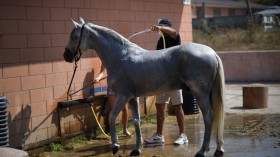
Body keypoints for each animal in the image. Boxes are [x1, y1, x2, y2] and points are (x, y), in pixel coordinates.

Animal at [63, 18, 225, 157]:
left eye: (74, 36)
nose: (66, 56)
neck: (120, 56)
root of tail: (212, 53)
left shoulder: (123, 96)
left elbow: (112, 116)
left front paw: (115, 146)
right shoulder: (132, 98)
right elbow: (136, 121)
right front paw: (136, 149)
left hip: (200, 93)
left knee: (209, 117)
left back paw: (202, 151)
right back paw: (218, 149)